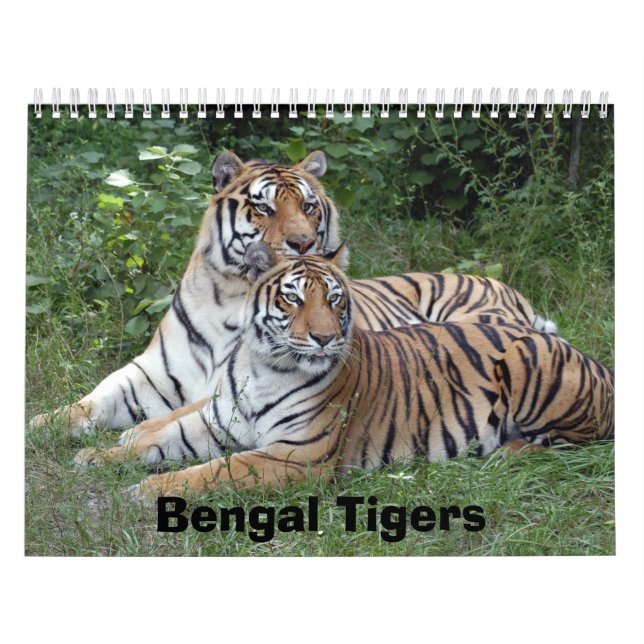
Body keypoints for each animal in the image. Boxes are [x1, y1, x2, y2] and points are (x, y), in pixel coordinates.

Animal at [32, 150, 557, 436]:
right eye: (263, 208)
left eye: (308, 206)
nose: (303, 243)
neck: (232, 297)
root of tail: (513, 291)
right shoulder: (152, 372)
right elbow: (93, 399)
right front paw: (40, 425)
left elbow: (178, 413)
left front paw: (133, 436)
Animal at [74, 243, 614, 502]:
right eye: (292, 298)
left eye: (335, 299)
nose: (324, 337)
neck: (262, 365)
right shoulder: (217, 422)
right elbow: (158, 439)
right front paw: (95, 456)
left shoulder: (297, 455)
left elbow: (211, 471)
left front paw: (146, 490)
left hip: (532, 368)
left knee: (568, 442)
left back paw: (505, 453)